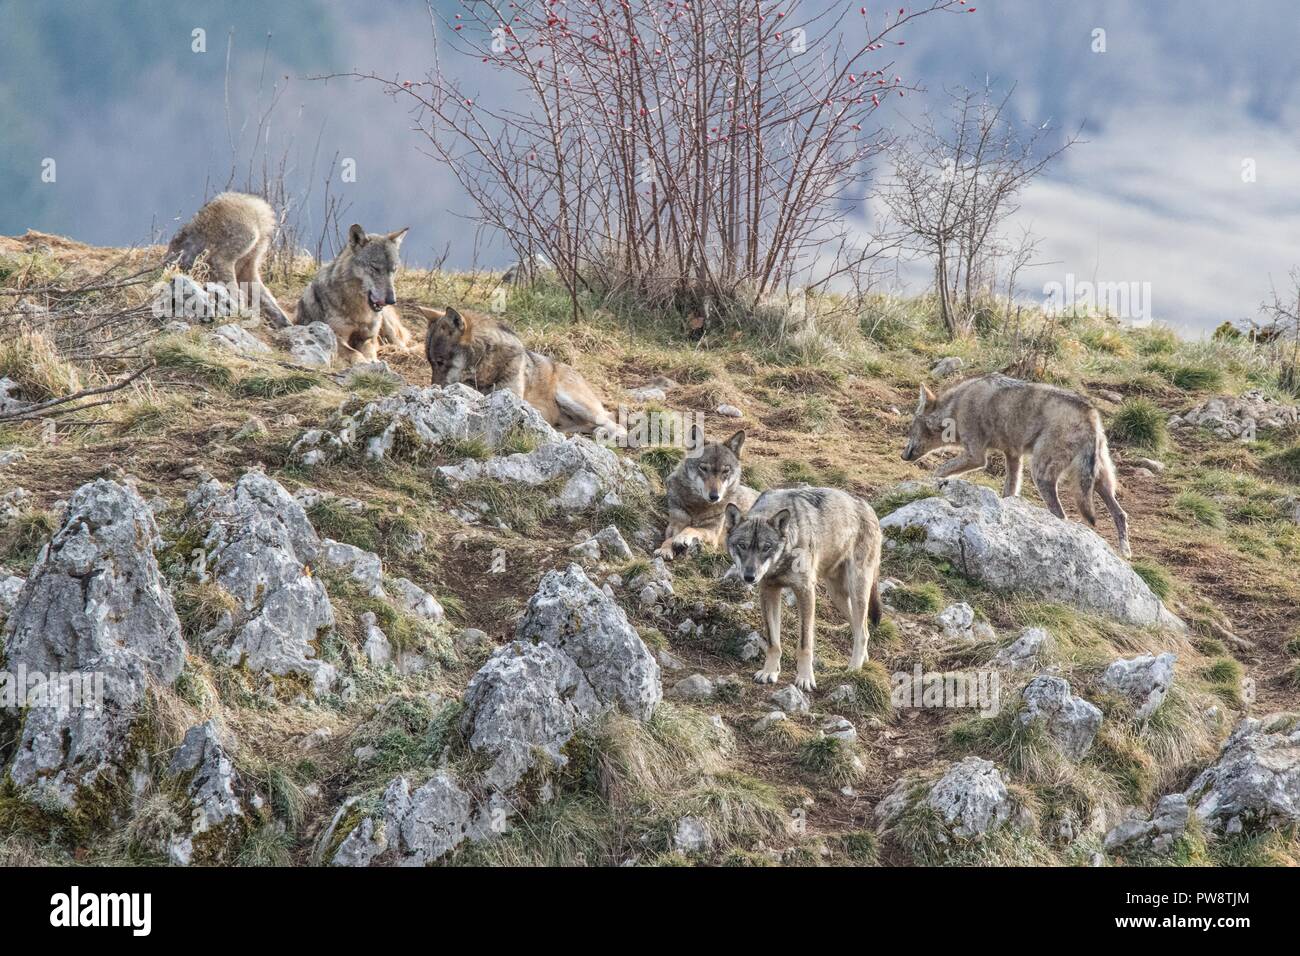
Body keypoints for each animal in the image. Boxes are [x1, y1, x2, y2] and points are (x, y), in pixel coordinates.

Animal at [296, 222, 413, 364]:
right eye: (375, 268)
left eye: (394, 270)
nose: (391, 300)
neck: (359, 312)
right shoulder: (335, 335)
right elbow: (354, 353)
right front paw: (363, 362)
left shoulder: (368, 337)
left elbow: (369, 352)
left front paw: (373, 361)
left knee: (402, 343)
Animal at [416, 304, 618, 439]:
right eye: (430, 363)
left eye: (440, 362)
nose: (434, 387)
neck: (486, 367)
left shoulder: (511, 395)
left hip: (572, 400)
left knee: (614, 423)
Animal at [722, 489, 883, 691]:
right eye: (742, 545)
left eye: (766, 547)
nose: (749, 577)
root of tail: (868, 508)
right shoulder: (768, 591)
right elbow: (773, 642)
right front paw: (769, 672)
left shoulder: (805, 592)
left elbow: (805, 644)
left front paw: (805, 678)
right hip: (837, 596)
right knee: (860, 629)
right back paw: (864, 661)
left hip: (857, 591)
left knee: (863, 632)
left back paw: (854, 669)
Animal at [899, 374, 1133, 561]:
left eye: (910, 428)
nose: (902, 455)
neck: (956, 407)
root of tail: (1091, 414)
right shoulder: (1013, 456)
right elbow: (1009, 491)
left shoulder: (976, 456)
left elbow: (939, 470)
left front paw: (932, 485)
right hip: (1099, 482)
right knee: (1120, 514)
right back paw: (1125, 553)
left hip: (1041, 474)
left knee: (1062, 515)